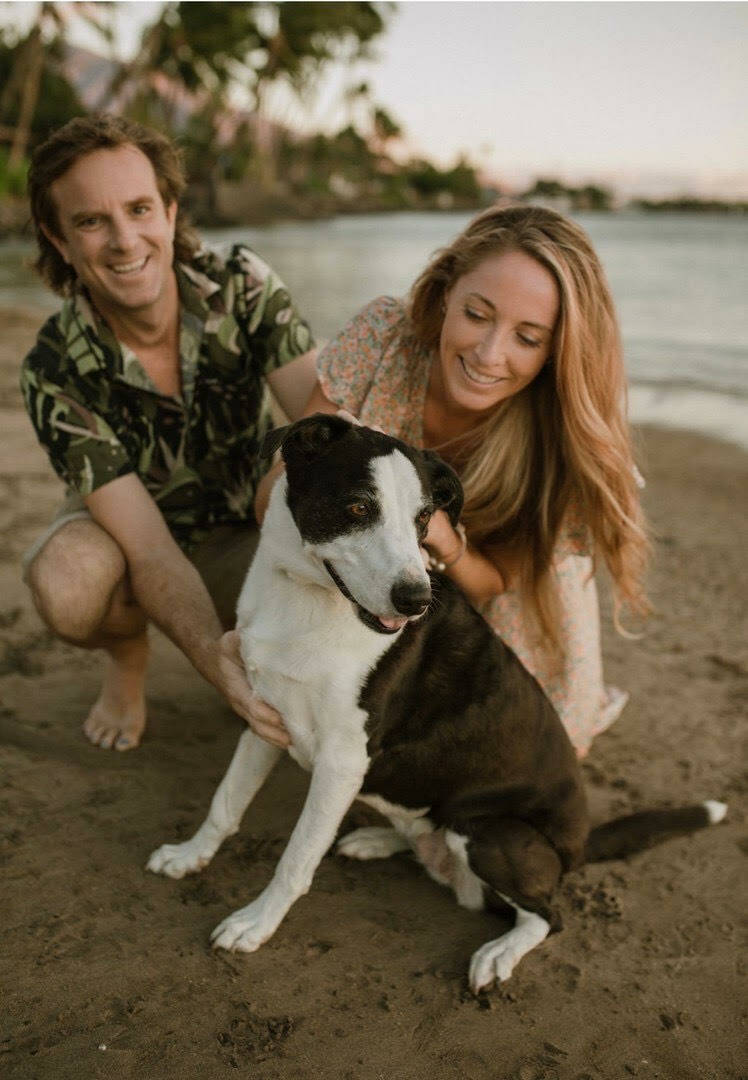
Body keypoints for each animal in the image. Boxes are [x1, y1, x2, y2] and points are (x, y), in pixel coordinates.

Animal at [148, 414, 725, 993]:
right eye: (358, 508)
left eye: (424, 517)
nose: (415, 601)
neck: (304, 600)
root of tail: (578, 846)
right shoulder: (263, 717)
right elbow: (225, 802)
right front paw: (190, 855)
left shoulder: (342, 762)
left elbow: (296, 859)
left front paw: (256, 923)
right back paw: (378, 840)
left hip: (489, 832)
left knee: (546, 915)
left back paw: (499, 951)